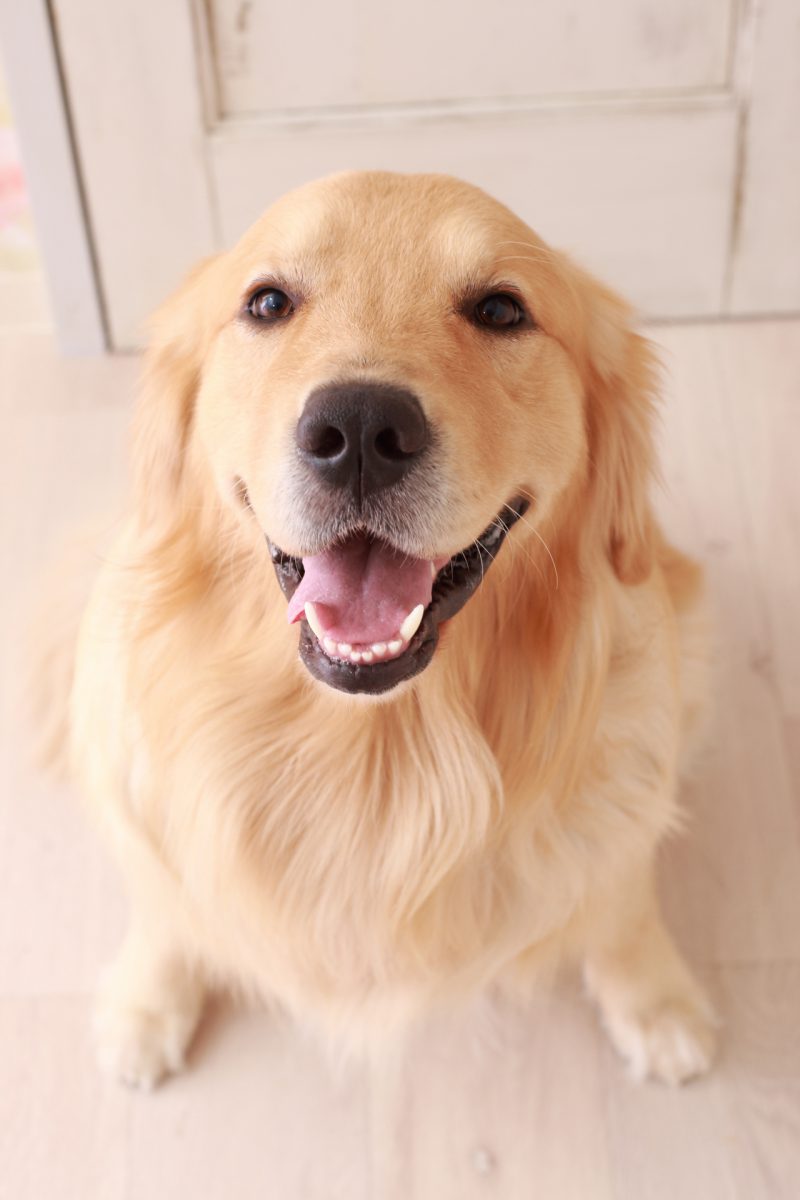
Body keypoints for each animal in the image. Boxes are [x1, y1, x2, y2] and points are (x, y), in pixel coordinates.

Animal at [67, 171, 715, 1088]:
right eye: (267, 302)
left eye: (501, 310)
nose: (360, 432)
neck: (381, 752)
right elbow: (167, 904)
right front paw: (145, 1003)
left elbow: (622, 900)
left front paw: (655, 1001)